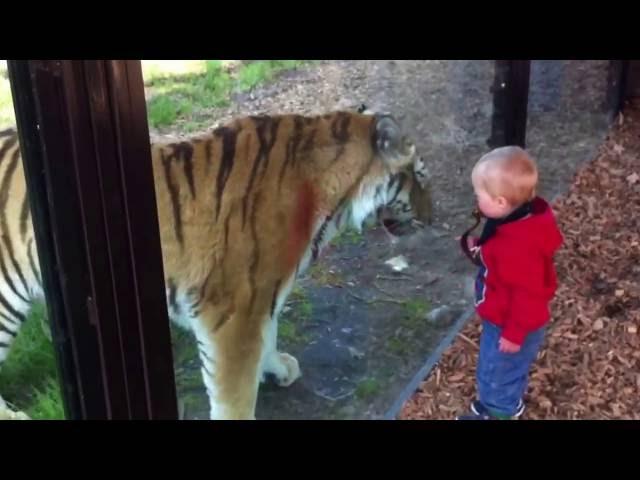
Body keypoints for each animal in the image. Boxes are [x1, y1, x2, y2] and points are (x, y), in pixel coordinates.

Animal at [0, 107, 432, 418]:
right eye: (420, 176)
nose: (433, 216)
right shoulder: (232, 310)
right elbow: (234, 391)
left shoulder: (262, 294)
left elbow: (270, 332)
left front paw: (276, 367)